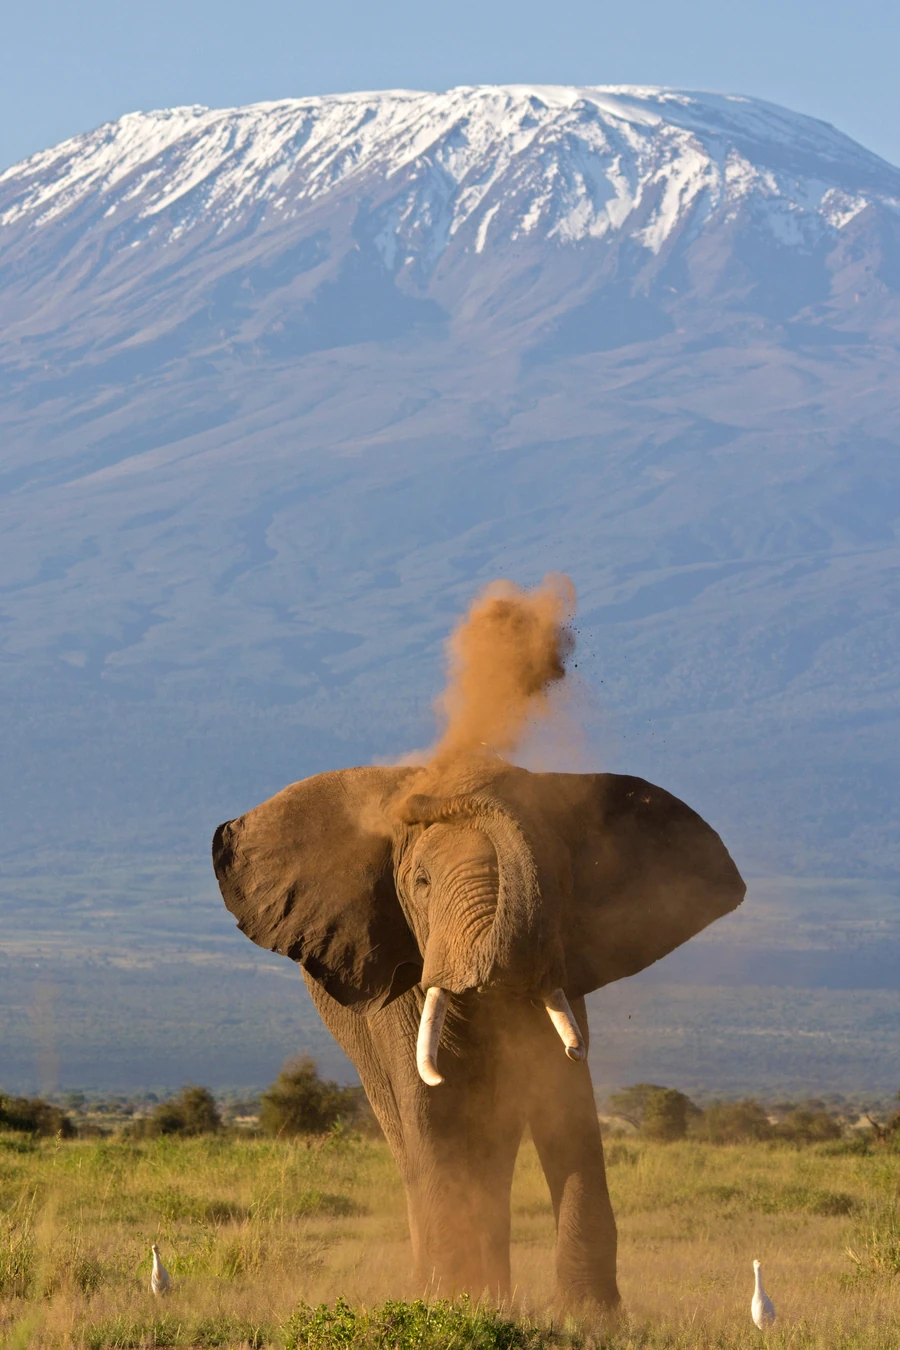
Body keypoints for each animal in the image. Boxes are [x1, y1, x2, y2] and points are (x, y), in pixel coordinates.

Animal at [212, 755, 744, 1309]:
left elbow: (565, 1101)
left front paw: (589, 1319)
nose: (431, 796)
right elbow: (433, 1108)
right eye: (421, 882)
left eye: (559, 882)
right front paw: (452, 1306)